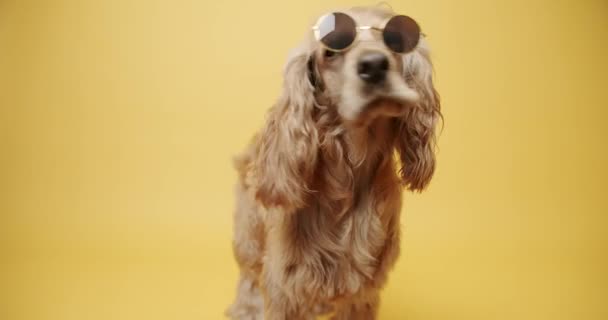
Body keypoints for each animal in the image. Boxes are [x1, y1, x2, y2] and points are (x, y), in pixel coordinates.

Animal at [226, 5, 440, 320]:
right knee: (248, 278)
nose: (374, 65)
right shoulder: (285, 285)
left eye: (394, 41)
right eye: (331, 50)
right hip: (249, 236)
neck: (351, 170)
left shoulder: (362, 292)